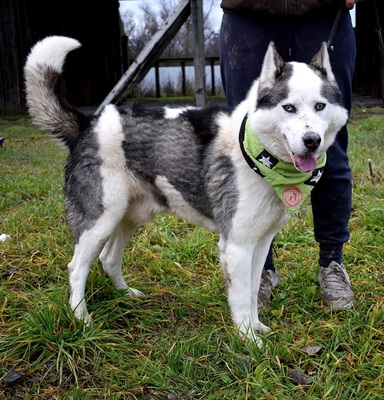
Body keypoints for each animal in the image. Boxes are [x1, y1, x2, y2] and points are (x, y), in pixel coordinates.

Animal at [24, 36, 348, 340]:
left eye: (320, 106)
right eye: (288, 108)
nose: (312, 141)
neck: (257, 154)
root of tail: (87, 124)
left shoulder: (260, 243)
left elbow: (254, 290)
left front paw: (257, 327)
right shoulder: (237, 246)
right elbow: (242, 299)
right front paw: (249, 341)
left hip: (127, 218)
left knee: (108, 258)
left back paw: (126, 294)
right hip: (100, 221)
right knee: (77, 268)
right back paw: (81, 318)